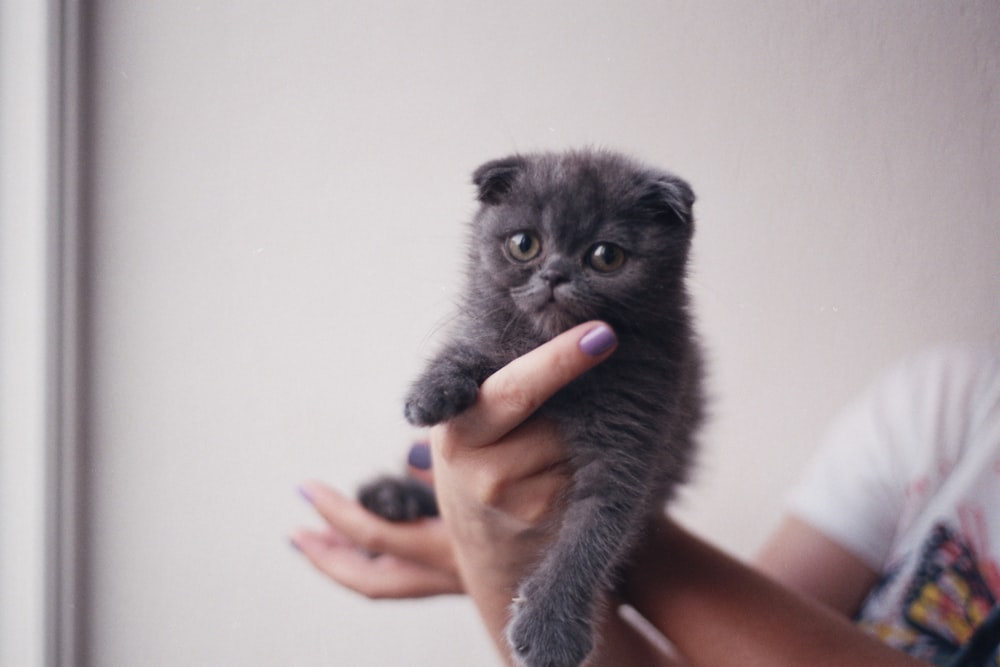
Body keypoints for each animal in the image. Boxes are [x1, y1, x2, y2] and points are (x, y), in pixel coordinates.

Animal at [362, 150, 704, 667]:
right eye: (525, 245)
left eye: (606, 256)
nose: (555, 275)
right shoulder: (489, 329)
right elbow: (474, 345)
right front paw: (432, 389)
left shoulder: (636, 430)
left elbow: (592, 533)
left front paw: (551, 630)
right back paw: (392, 497)